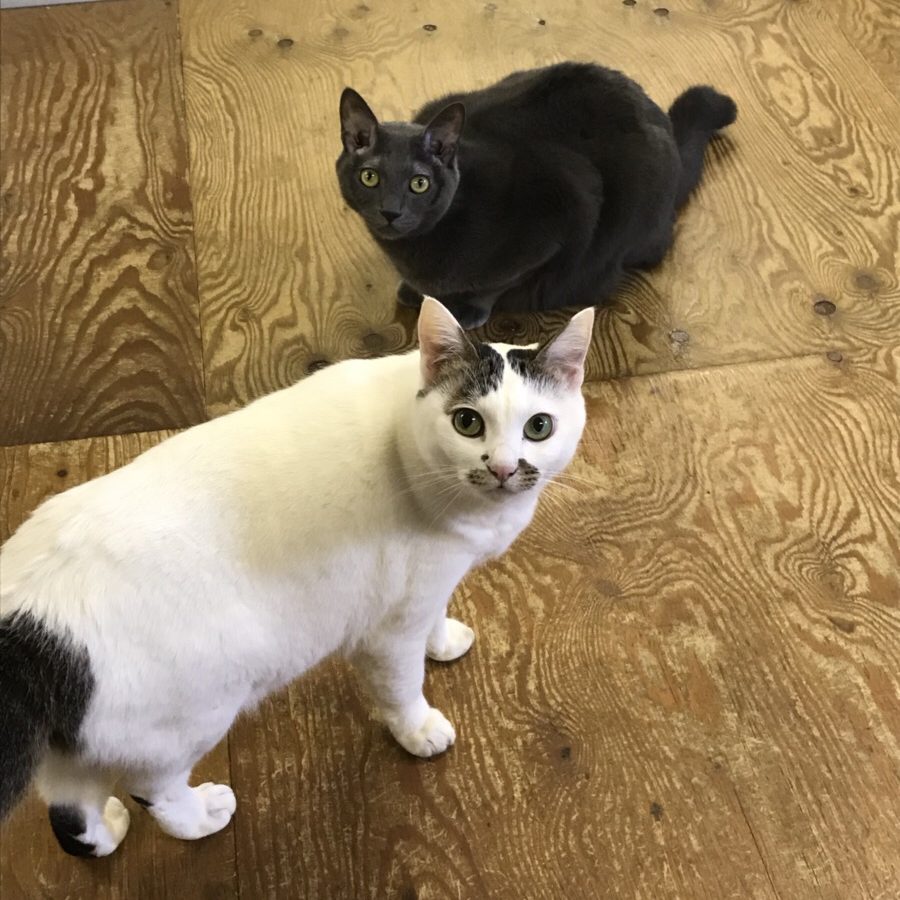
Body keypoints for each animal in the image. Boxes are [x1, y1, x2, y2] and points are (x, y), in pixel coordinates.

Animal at [0, 299, 595, 857]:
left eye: (538, 427)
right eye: (468, 422)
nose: (504, 467)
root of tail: (29, 620)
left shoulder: (427, 589)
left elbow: (437, 614)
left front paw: (444, 640)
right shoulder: (388, 631)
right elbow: (403, 688)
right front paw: (419, 730)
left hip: (79, 755)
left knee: (69, 813)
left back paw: (107, 833)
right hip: (191, 717)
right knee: (155, 793)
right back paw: (203, 816)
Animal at [336, 62, 736, 329]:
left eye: (419, 184)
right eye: (370, 177)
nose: (390, 212)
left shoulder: (567, 207)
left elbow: (498, 283)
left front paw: (468, 308)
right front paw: (413, 290)